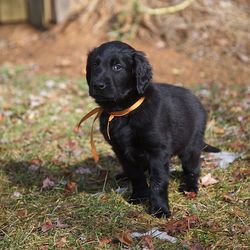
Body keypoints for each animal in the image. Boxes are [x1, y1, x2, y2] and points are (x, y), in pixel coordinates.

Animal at [85, 40, 219, 217]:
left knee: (193, 168)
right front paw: (139, 196)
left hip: (191, 145)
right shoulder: (120, 149)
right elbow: (135, 174)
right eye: (95, 65)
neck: (123, 111)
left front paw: (160, 209)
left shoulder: (157, 151)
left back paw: (189, 187)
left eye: (117, 67)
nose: (97, 85)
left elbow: (159, 181)